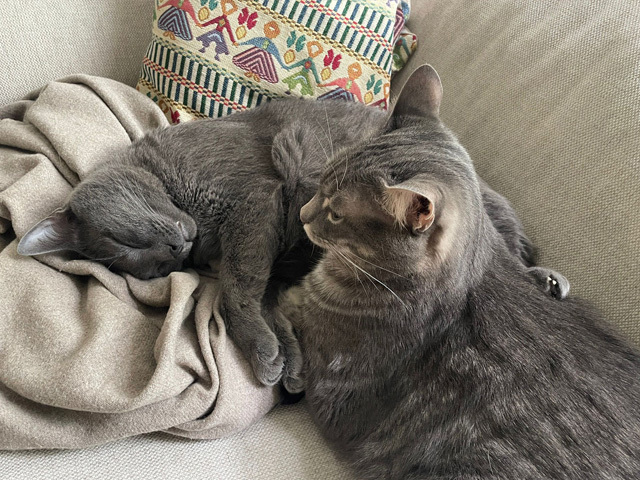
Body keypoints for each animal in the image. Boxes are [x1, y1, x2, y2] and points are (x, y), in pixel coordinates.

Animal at [18, 96, 567, 392]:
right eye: (147, 269)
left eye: (124, 242)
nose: (176, 250)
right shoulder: (270, 250)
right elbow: (264, 299)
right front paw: (285, 358)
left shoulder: (254, 204)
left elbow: (237, 290)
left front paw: (267, 354)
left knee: (507, 251)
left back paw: (546, 280)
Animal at [277, 65, 640, 479]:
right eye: (321, 181)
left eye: (336, 213)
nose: (303, 214)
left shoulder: (332, 388)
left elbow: (284, 314)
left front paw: (290, 366)